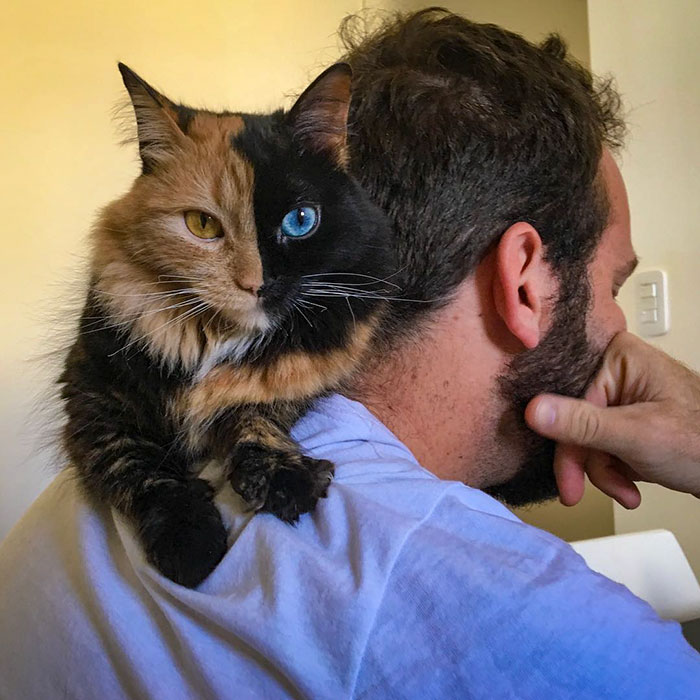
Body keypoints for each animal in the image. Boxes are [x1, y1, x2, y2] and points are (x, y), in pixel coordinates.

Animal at [59, 61, 394, 584]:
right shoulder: (92, 395)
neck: (213, 339)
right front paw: (190, 545)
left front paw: (285, 481)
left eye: (300, 220)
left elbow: (253, 416)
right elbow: (138, 467)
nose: (256, 284)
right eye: (202, 225)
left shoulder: (298, 383)